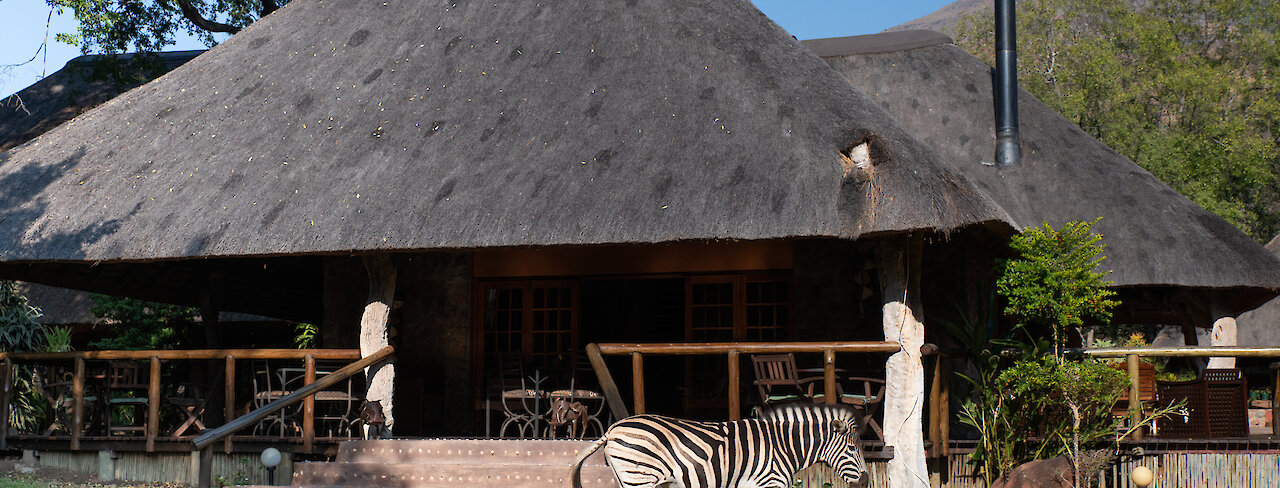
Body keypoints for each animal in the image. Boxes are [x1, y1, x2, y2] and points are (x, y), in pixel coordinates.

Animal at [573, 402, 865, 484]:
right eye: (852, 449)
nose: (865, 482)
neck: (782, 447)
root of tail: (612, 429)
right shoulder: (770, 481)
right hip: (639, 476)